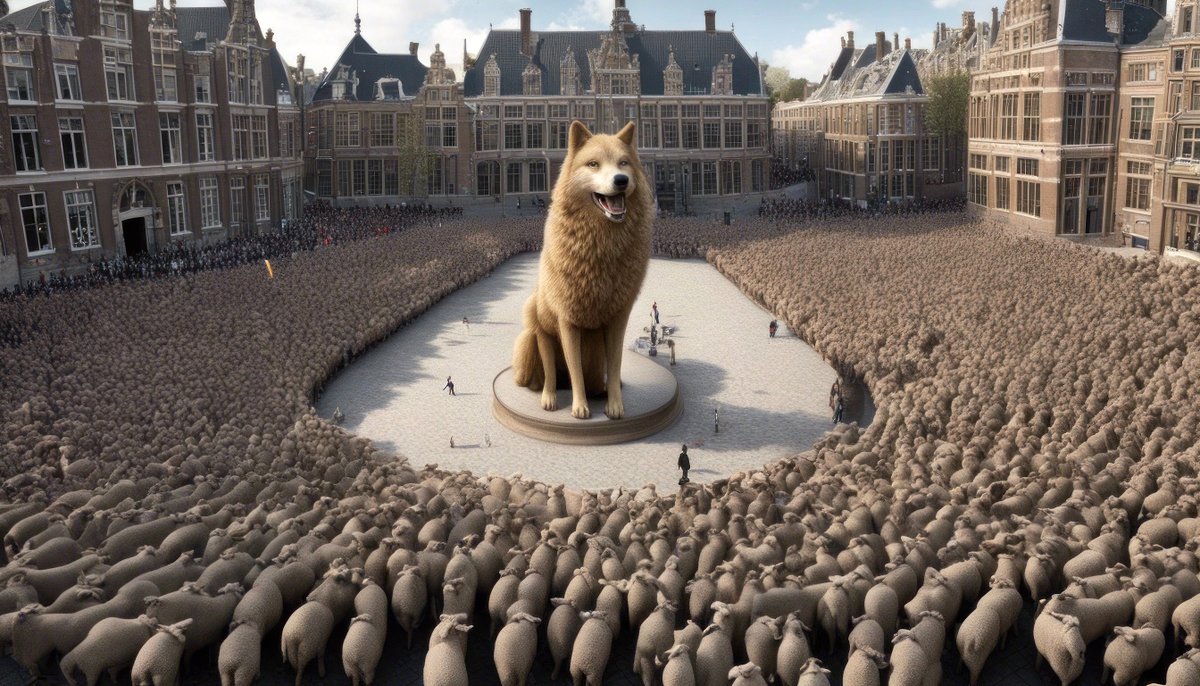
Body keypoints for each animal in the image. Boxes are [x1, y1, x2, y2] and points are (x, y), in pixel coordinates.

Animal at [512, 120, 653, 420]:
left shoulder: (618, 318)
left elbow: (615, 365)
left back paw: (600, 391)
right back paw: (550, 398)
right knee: (552, 375)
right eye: (593, 164)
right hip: (536, 334)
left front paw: (615, 405)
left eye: (623, 163)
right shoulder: (567, 321)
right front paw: (579, 407)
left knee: (595, 376)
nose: (621, 180)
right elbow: (573, 367)